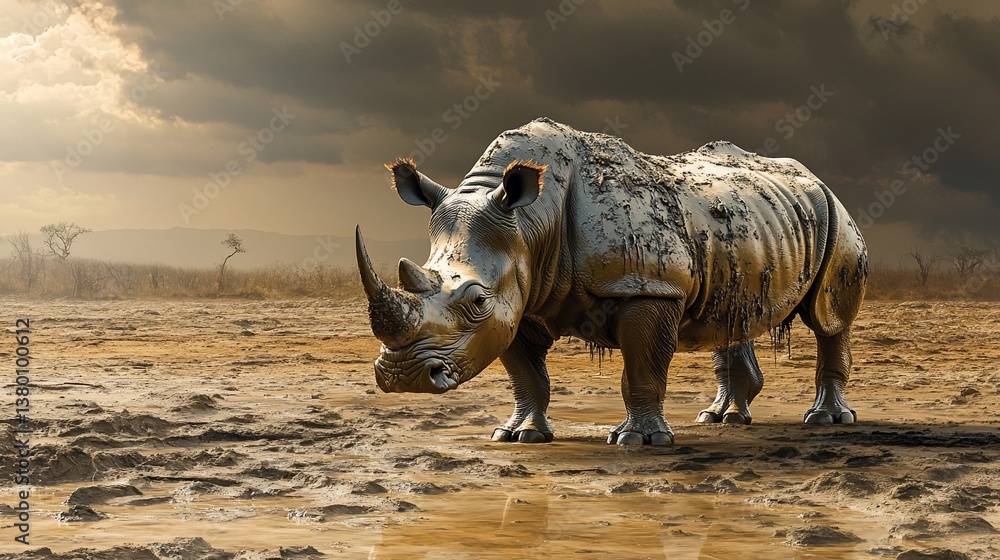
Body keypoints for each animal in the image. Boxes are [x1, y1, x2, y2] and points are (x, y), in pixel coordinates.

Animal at [356, 117, 867, 446]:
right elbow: (526, 373)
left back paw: (825, 420)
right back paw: (721, 419)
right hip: (751, 225)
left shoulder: (647, 286)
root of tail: (814, 177)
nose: (404, 378)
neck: (530, 224)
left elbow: (641, 367)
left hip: (835, 215)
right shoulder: (520, 298)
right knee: (732, 312)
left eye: (476, 300)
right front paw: (519, 435)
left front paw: (639, 441)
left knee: (829, 319)